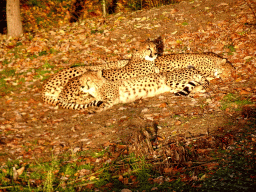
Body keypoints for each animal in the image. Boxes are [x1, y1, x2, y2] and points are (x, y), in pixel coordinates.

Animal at [57, 68, 208, 111]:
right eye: (81, 81)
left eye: (88, 80)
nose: (82, 86)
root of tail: (192, 68)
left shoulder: (111, 99)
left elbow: (102, 105)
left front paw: (93, 111)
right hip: (175, 85)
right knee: (198, 84)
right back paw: (200, 89)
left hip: (171, 81)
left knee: (196, 83)